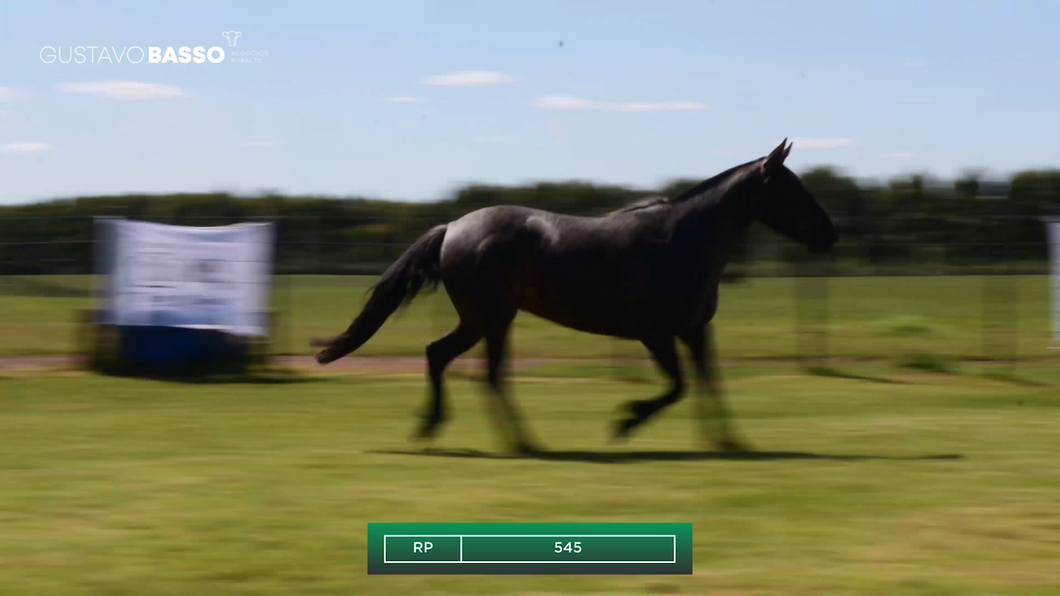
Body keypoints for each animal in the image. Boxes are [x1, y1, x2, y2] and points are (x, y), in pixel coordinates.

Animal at [309, 139, 839, 453]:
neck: (681, 242)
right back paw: (524, 443)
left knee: (440, 355)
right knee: (489, 375)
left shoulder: (693, 332)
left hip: (480, 320)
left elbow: (709, 385)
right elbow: (677, 387)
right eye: (791, 189)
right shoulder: (654, 334)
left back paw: (434, 427)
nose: (829, 233)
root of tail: (452, 228)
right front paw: (625, 422)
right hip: (493, 319)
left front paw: (729, 442)